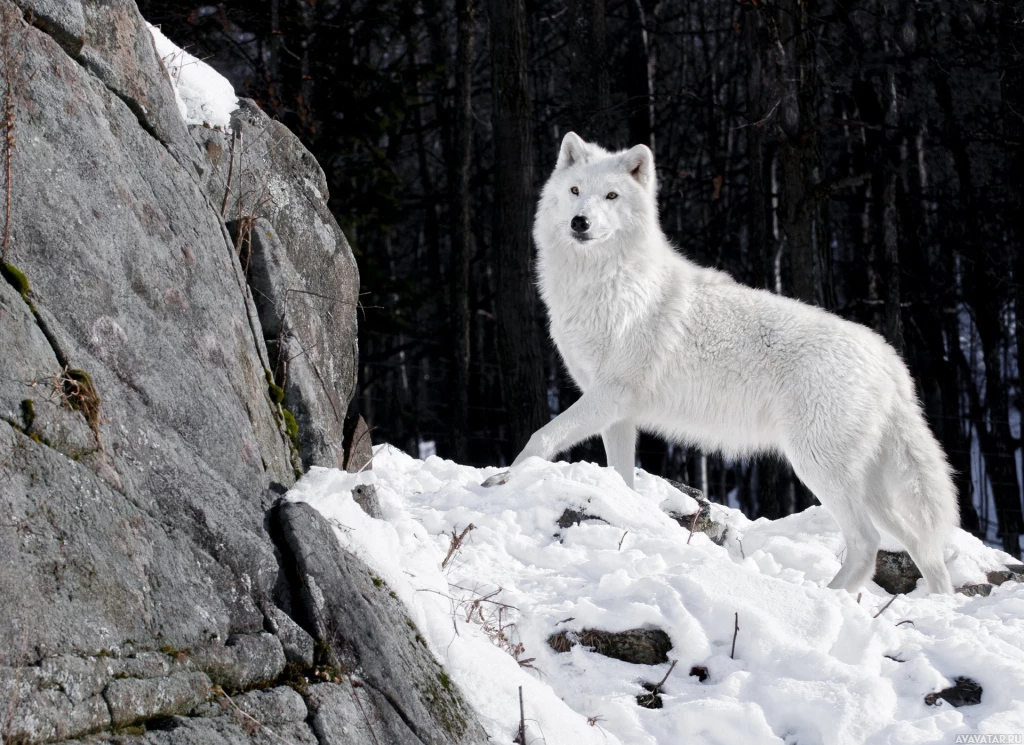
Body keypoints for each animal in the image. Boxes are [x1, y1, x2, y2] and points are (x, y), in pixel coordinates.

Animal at [503, 132, 958, 593]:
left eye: (611, 196)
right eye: (575, 191)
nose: (580, 222)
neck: (604, 284)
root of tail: (888, 358)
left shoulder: (609, 394)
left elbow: (539, 438)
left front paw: (501, 482)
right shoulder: (617, 414)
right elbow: (621, 479)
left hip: (817, 466)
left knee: (867, 544)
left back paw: (825, 597)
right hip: (867, 485)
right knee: (923, 547)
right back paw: (938, 602)